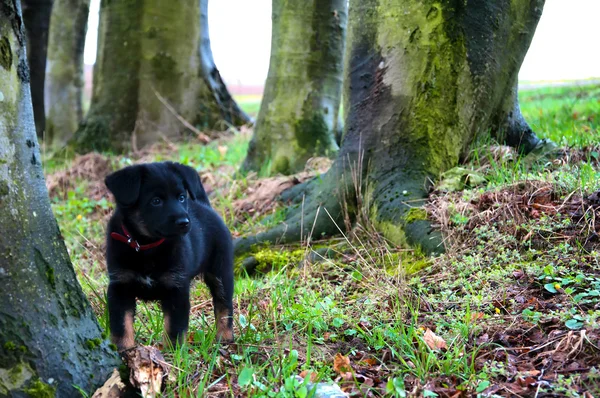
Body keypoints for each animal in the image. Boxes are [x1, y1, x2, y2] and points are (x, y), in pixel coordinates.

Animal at [104, 160, 233, 350]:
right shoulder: (120, 285)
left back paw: (225, 336)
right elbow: (121, 324)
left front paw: (172, 352)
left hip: (220, 270)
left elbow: (174, 325)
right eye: (156, 201)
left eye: (181, 197)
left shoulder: (176, 287)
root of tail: (205, 206)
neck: (146, 246)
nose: (184, 222)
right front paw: (123, 349)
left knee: (224, 303)